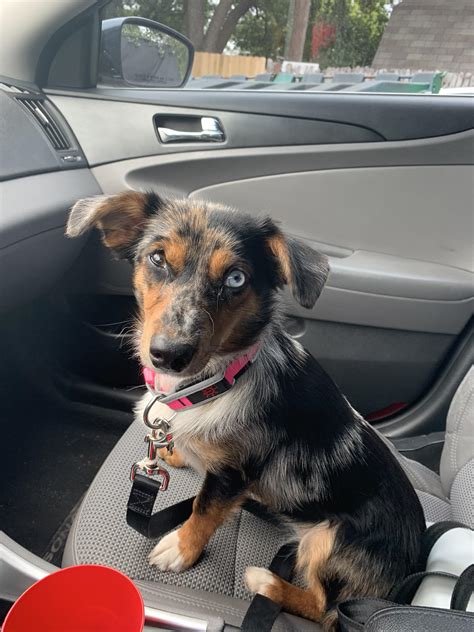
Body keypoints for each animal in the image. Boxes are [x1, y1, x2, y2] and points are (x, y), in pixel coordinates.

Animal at [66, 191, 426, 628]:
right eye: (157, 258)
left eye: (235, 279)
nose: (169, 355)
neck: (217, 381)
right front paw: (175, 452)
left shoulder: (234, 474)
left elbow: (203, 511)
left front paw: (181, 549)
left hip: (330, 540)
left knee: (324, 606)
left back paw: (265, 582)